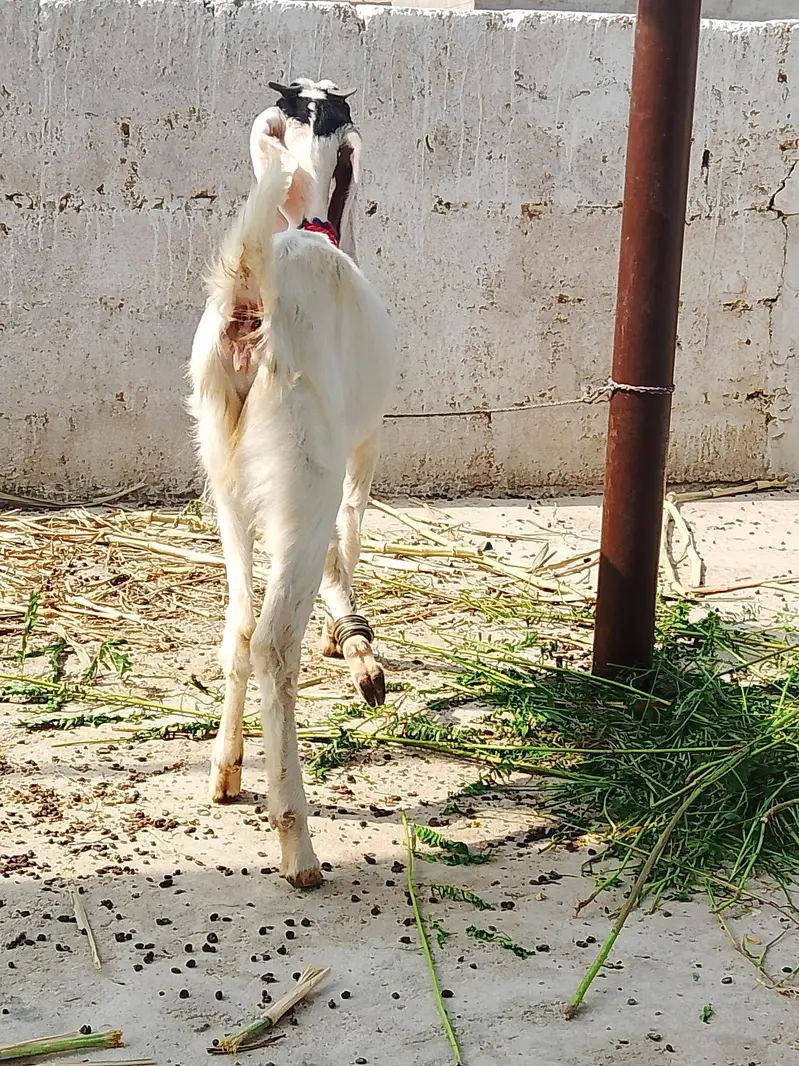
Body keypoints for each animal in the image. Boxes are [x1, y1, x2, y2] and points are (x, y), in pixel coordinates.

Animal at [188, 78, 396, 888]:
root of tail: (251, 298)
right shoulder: (364, 442)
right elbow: (354, 529)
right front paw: (352, 645)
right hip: (306, 469)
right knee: (276, 640)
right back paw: (297, 842)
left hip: (225, 474)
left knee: (240, 622)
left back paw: (227, 769)